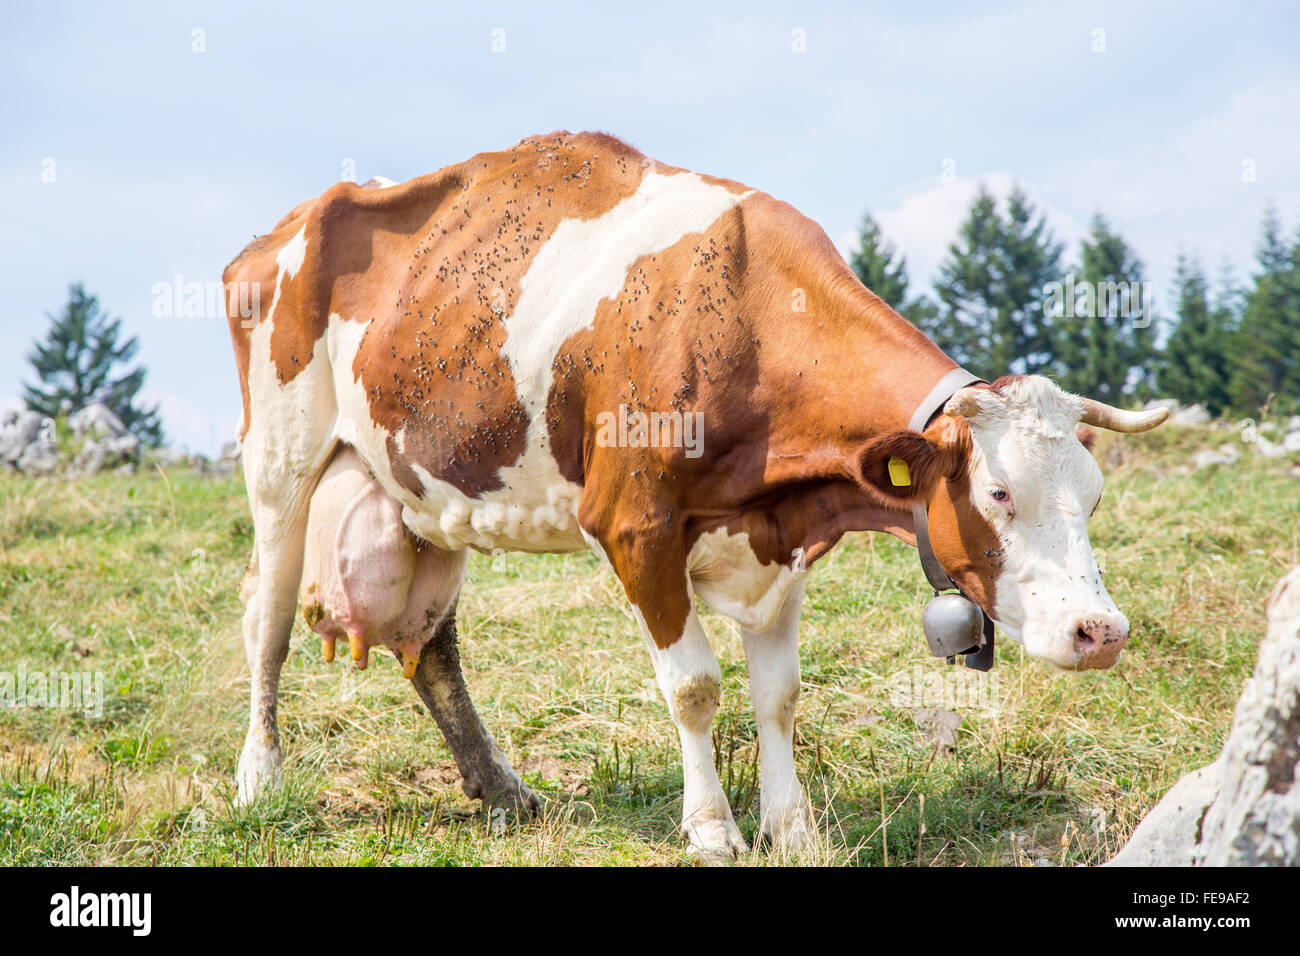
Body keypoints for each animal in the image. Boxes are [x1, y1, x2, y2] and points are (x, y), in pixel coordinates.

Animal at [220, 132, 1170, 858]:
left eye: (1092, 498)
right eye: (1000, 492)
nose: (1101, 631)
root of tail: (284, 229)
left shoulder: (781, 540)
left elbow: (778, 693)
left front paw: (794, 830)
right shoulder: (635, 528)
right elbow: (694, 688)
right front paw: (713, 830)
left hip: (425, 491)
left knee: (431, 644)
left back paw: (501, 789)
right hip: (280, 464)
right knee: (267, 621)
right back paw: (260, 781)